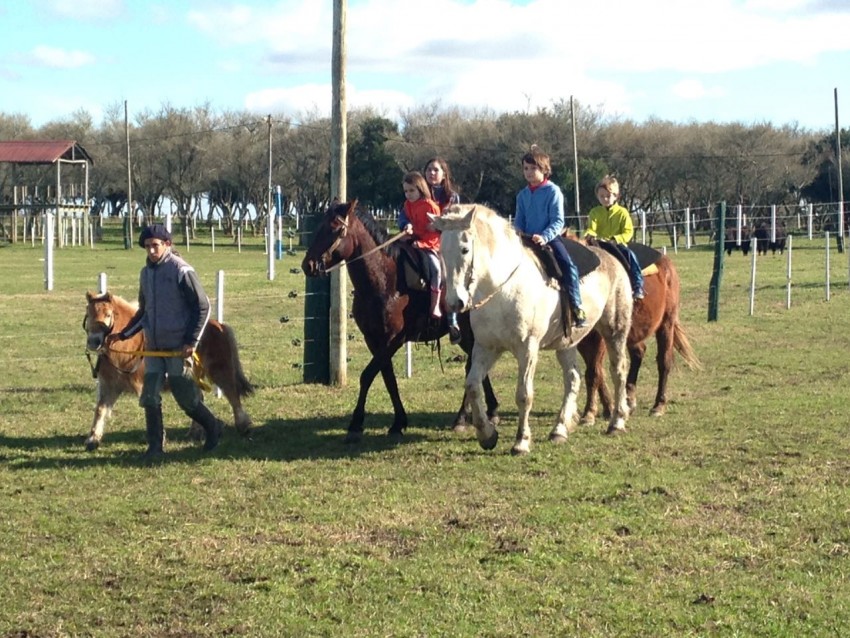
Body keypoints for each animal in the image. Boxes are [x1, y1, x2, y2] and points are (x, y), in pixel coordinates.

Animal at [84, 292, 253, 452]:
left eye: (108, 314)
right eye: (88, 313)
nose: (93, 341)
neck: (126, 348)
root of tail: (219, 325)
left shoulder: (143, 385)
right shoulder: (110, 386)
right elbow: (100, 409)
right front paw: (93, 439)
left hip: (220, 370)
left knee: (232, 394)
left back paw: (243, 427)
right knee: (197, 399)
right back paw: (196, 432)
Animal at [300, 201, 496, 444]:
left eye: (335, 228)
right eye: (319, 226)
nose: (308, 265)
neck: (385, 280)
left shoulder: (394, 339)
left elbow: (368, 375)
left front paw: (356, 423)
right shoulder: (373, 339)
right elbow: (387, 378)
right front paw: (398, 422)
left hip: (469, 333)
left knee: (472, 367)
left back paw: (464, 418)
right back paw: (488, 411)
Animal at [434, 205, 632, 456]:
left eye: (464, 249)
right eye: (441, 250)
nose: (455, 302)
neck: (503, 289)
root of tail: (612, 258)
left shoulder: (527, 349)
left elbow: (524, 395)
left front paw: (521, 441)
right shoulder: (486, 348)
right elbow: (472, 386)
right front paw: (487, 434)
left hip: (615, 331)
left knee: (618, 371)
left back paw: (617, 422)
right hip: (567, 344)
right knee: (573, 378)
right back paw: (559, 430)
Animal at [572, 251, 700, 424]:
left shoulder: (600, 338)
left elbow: (593, 373)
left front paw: (590, 413)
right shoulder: (582, 341)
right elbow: (597, 372)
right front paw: (608, 408)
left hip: (666, 322)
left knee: (664, 361)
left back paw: (658, 405)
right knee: (639, 352)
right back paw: (630, 399)